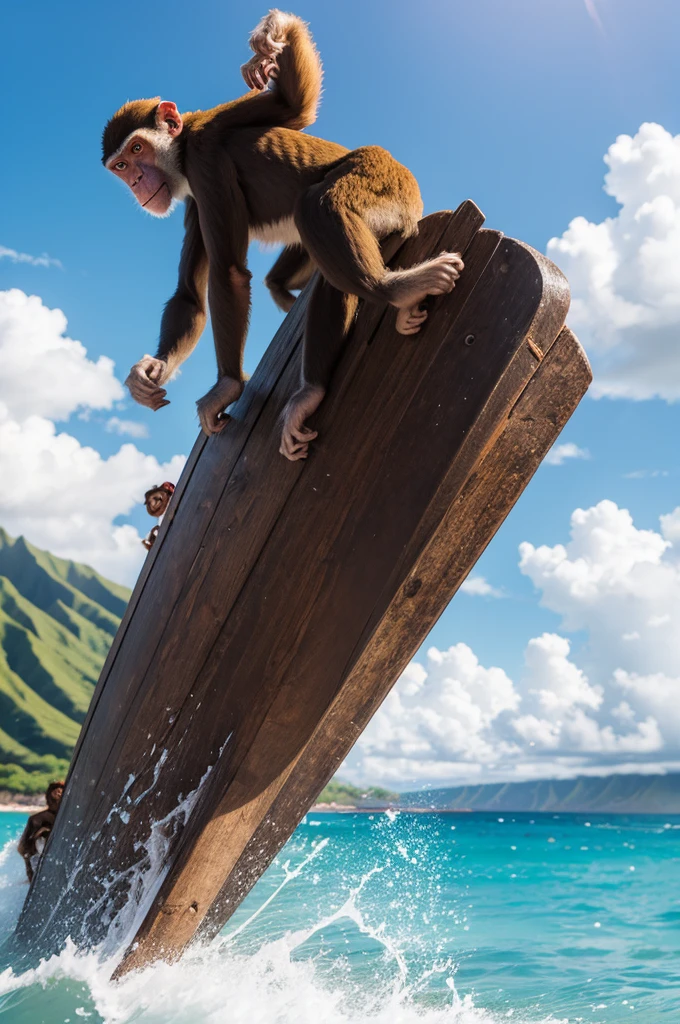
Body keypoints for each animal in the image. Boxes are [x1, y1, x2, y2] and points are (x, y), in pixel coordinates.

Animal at [103, 9, 464, 458]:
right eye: (120, 166)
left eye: (137, 151)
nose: (136, 180)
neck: (181, 154)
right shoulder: (193, 198)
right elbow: (189, 294)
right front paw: (153, 369)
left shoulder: (204, 150)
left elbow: (230, 272)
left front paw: (226, 387)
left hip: (387, 181)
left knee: (318, 207)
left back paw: (388, 292)